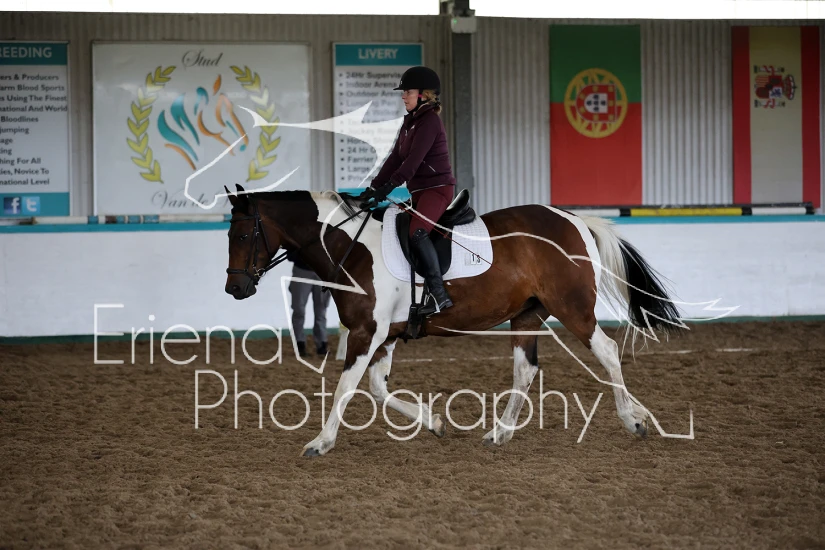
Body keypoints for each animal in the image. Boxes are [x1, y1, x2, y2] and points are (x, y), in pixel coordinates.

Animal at [223, 184, 682, 457]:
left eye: (243, 235)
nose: (235, 289)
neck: (349, 246)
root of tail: (573, 218)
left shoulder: (366, 333)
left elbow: (346, 387)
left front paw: (321, 441)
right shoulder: (384, 335)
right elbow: (376, 389)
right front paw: (434, 421)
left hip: (572, 308)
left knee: (607, 352)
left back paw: (632, 419)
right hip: (526, 315)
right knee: (526, 370)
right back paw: (501, 432)